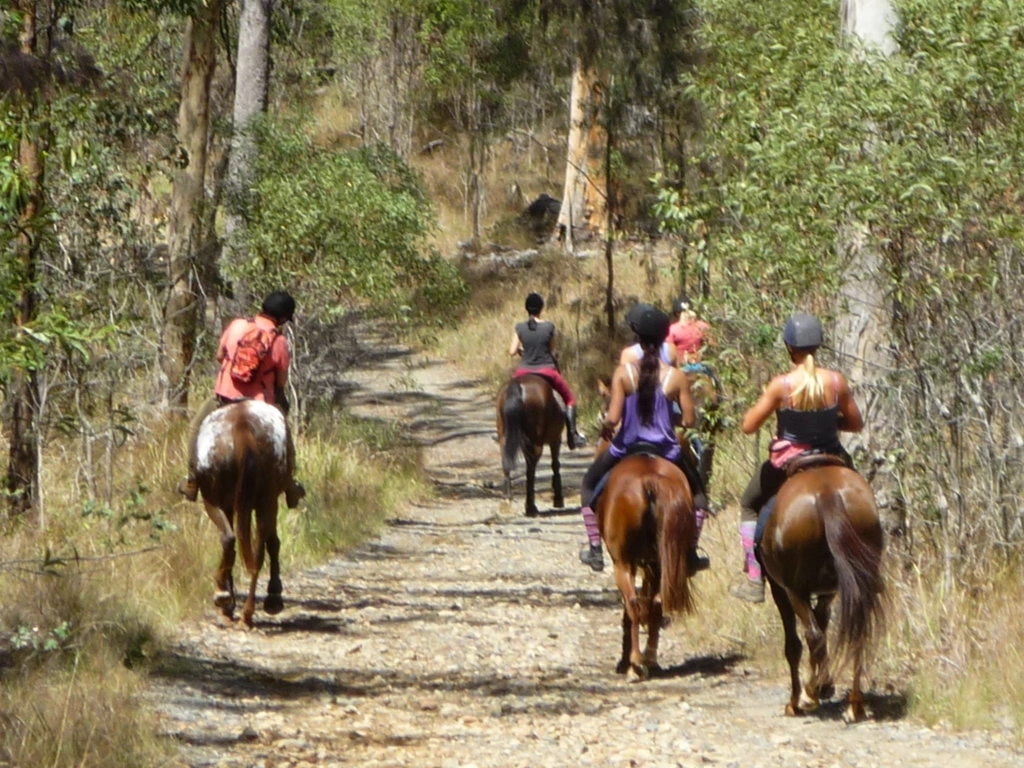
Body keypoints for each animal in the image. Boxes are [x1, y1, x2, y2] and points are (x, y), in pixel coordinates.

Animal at [192, 399, 290, 626]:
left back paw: (224, 596)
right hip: (266, 501)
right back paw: (250, 611)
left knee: (231, 539)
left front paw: (227, 600)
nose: (286, 403)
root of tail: (243, 430)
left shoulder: (223, 504)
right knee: (258, 550)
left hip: (215, 500)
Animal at [493, 374, 565, 518]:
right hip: (536, 443)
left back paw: (506, 500)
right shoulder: (556, 439)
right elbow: (555, 464)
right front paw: (558, 498)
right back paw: (530, 507)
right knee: (531, 471)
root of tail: (518, 386)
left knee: (506, 464)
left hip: (504, 437)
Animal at [593, 454, 696, 684]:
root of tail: (650, 479)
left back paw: (635, 662)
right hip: (660, 562)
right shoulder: (652, 565)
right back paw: (649, 659)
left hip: (623, 563)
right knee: (656, 603)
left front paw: (625, 662)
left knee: (633, 604)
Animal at [761, 460, 888, 724]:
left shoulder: (780, 590)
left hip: (795, 590)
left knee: (812, 636)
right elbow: (823, 625)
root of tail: (826, 494)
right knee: (856, 634)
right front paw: (825, 684)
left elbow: (796, 644)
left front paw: (798, 700)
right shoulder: (827, 593)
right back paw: (854, 706)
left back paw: (810, 695)